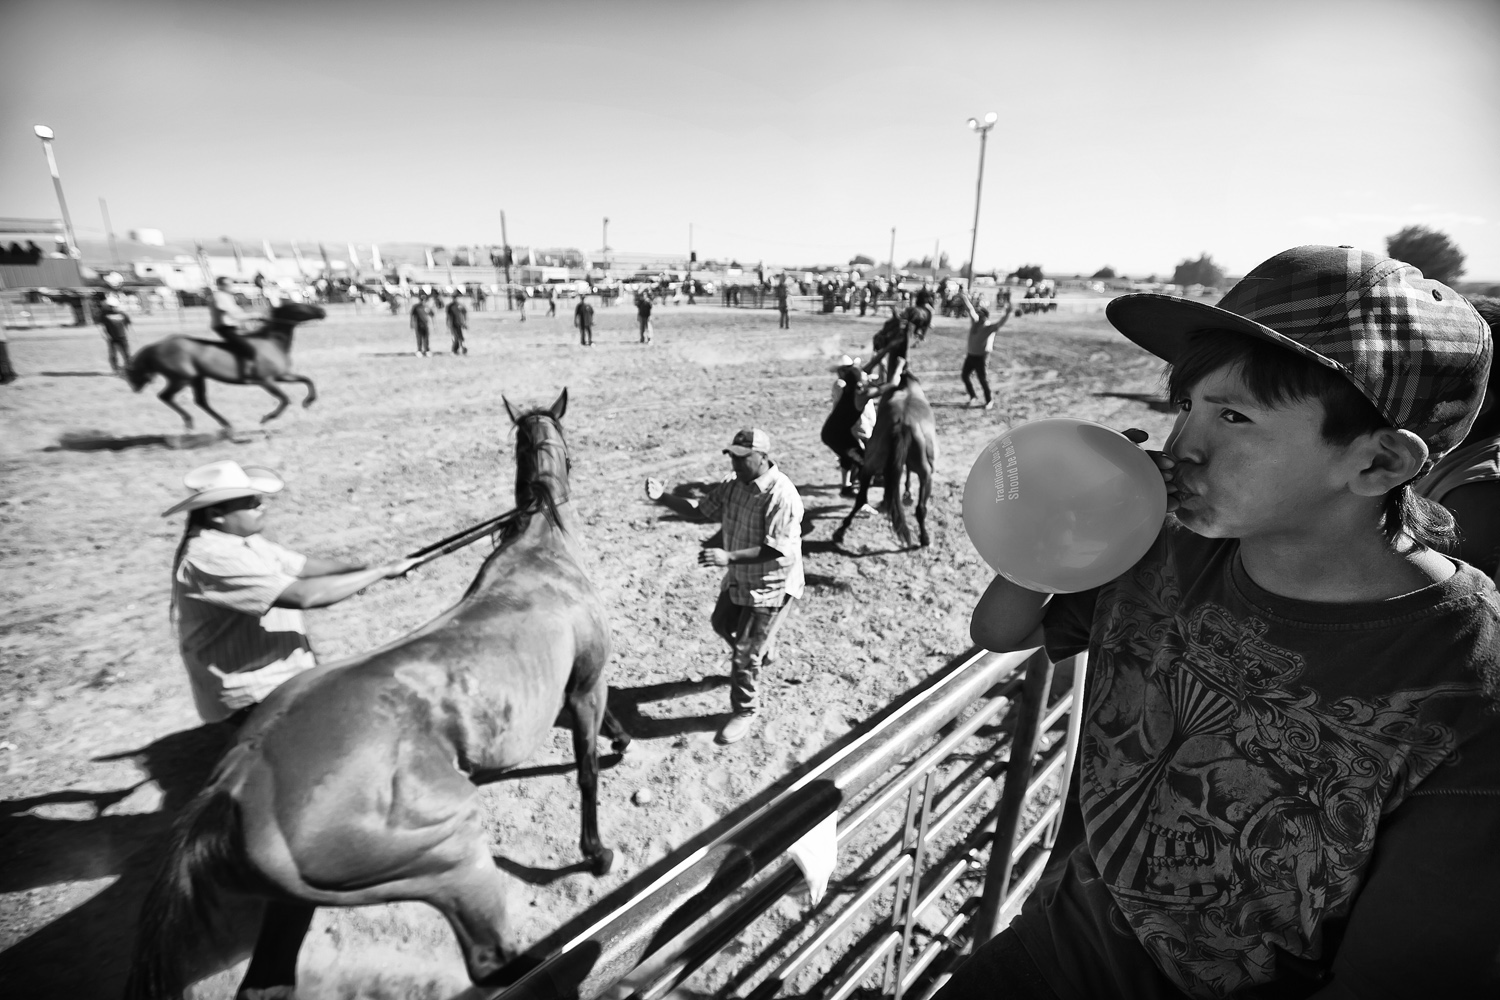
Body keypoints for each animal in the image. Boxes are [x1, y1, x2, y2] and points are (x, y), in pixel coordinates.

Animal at [120, 389, 627, 1000]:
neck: (540, 550)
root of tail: (238, 788)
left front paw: (623, 742)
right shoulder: (586, 685)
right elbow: (587, 769)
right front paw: (597, 852)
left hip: (292, 906)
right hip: (452, 859)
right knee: (492, 960)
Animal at [129, 302, 328, 431]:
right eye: (299, 306)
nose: (322, 311)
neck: (271, 342)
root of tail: (157, 346)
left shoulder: (282, 376)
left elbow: (307, 380)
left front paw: (308, 401)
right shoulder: (266, 381)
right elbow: (285, 399)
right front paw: (266, 418)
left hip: (197, 378)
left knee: (200, 401)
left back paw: (225, 424)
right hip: (181, 379)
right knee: (165, 396)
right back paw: (189, 421)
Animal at [834, 373, 936, 551]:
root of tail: (902, 423)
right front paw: (908, 493)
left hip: (870, 465)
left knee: (861, 499)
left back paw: (841, 530)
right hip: (926, 474)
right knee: (921, 508)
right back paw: (924, 538)